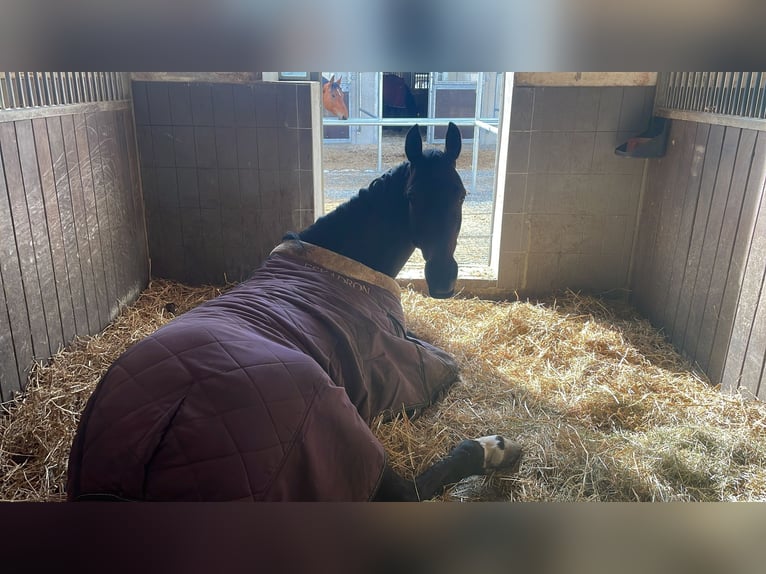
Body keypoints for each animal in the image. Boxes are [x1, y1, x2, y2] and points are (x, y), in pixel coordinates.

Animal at [66, 123, 522, 502]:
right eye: (412, 197)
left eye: (461, 194)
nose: (443, 280)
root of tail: (152, 439)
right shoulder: (402, 361)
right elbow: (448, 363)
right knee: (406, 491)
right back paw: (497, 448)